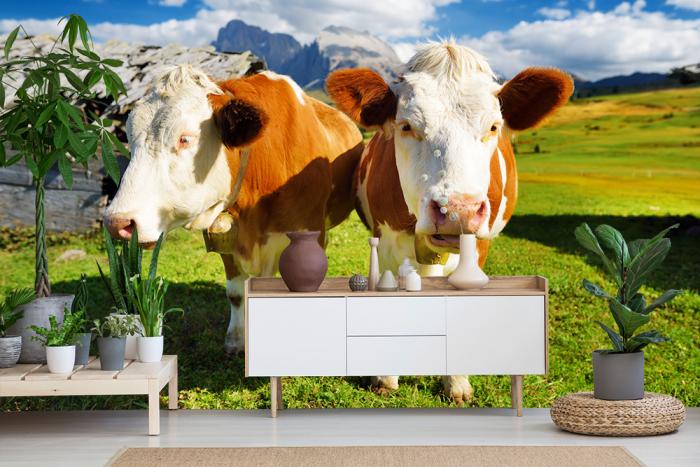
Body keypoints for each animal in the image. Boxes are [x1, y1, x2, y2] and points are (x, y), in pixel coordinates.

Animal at [104, 65, 364, 354]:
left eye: (184, 139)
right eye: (130, 140)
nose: (117, 222)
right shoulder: (226, 236)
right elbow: (237, 292)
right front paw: (237, 340)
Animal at [326, 40, 573, 403]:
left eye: (493, 127)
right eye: (406, 125)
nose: (459, 210)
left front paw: (456, 382)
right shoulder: (385, 240)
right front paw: (385, 376)